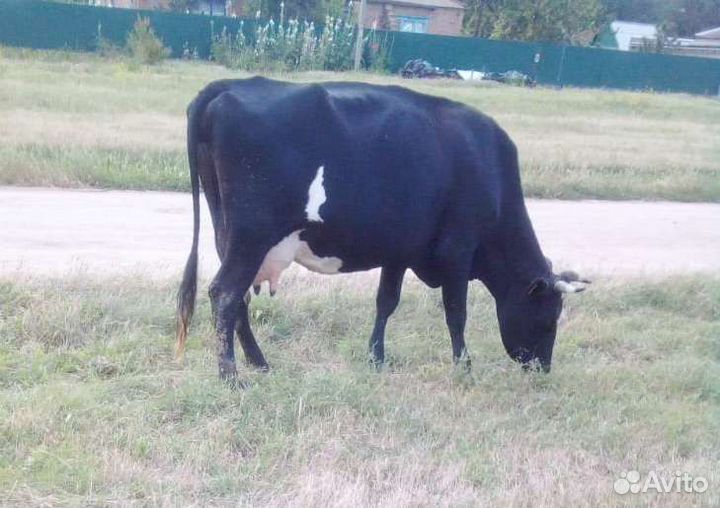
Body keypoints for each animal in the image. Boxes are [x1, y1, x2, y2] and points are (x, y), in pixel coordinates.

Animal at [175, 77, 588, 385]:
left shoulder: (400, 250)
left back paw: (259, 363)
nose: (542, 369)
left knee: (239, 298)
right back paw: (231, 376)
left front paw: (376, 358)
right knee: (225, 293)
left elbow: (386, 302)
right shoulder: (458, 250)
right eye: (549, 317)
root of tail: (231, 85)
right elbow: (456, 312)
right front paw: (464, 366)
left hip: (228, 234)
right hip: (253, 235)